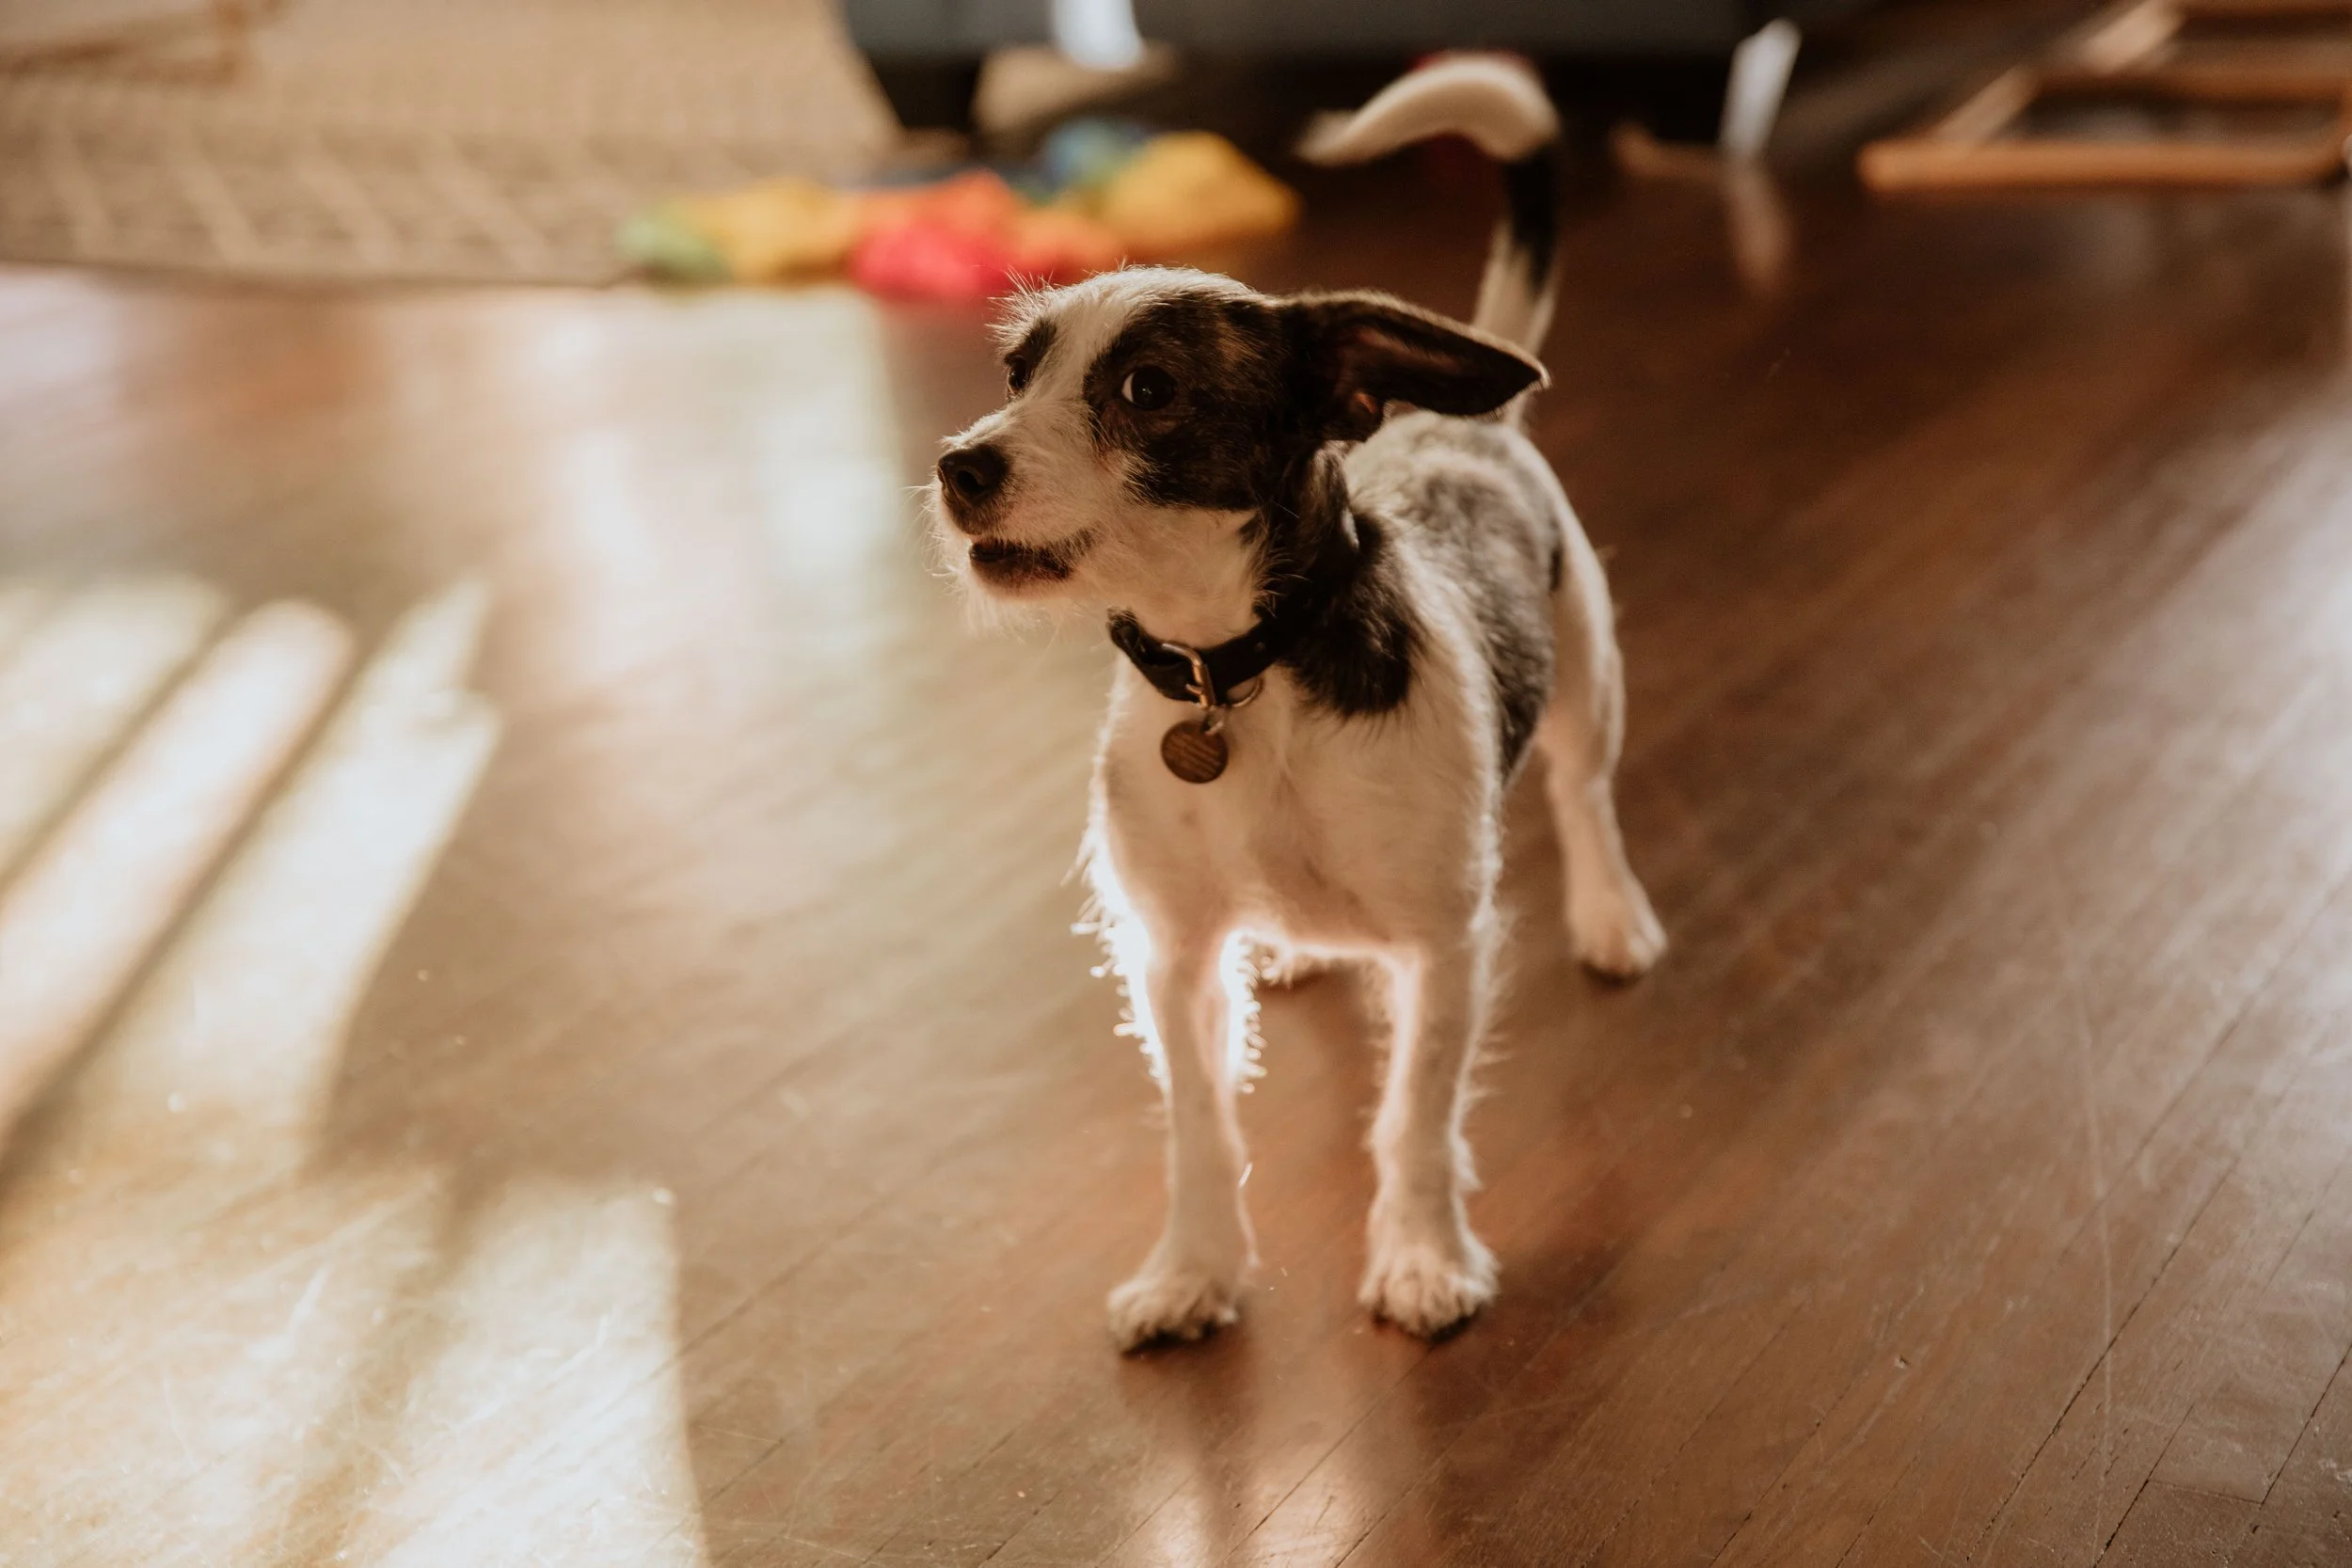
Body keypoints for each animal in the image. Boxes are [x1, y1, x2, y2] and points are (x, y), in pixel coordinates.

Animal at [930, 55, 1665, 1349]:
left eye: (1148, 387)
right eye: (1017, 375)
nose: (956, 466)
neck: (1238, 670)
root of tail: (1460, 420)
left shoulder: (1441, 948)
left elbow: (1414, 1118)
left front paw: (1423, 1257)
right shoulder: (1170, 956)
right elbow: (1197, 1125)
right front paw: (1193, 1269)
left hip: (1586, 671)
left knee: (1584, 796)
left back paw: (1612, 917)